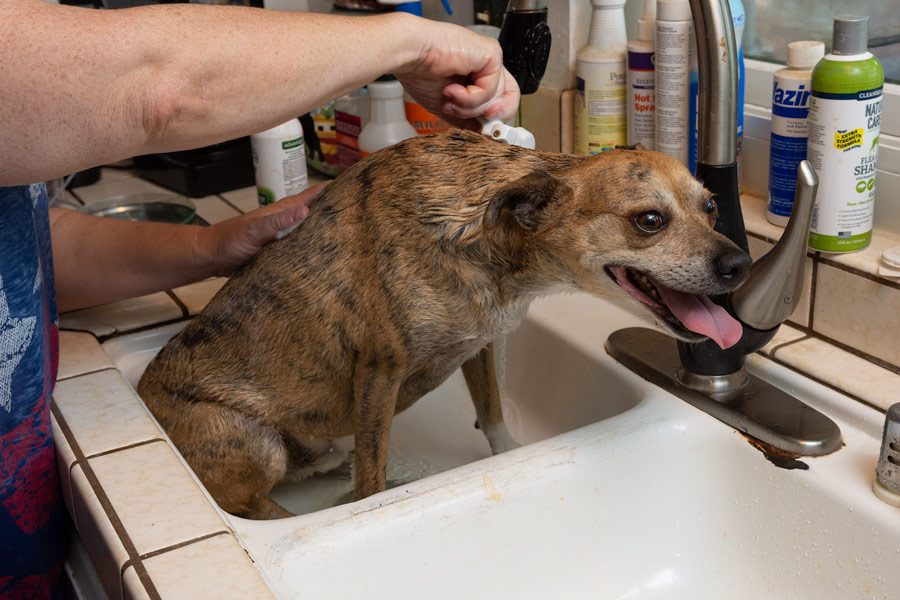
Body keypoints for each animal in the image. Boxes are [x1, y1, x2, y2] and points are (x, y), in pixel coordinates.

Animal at [137, 129, 748, 516]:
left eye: (712, 207)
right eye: (649, 221)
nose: (740, 264)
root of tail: (141, 393)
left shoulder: (479, 345)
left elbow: (493, 413)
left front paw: (508, 450)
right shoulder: (379, 370)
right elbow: (373, 477)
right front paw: (369, 497)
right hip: (250, 439)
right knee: (259, 506)